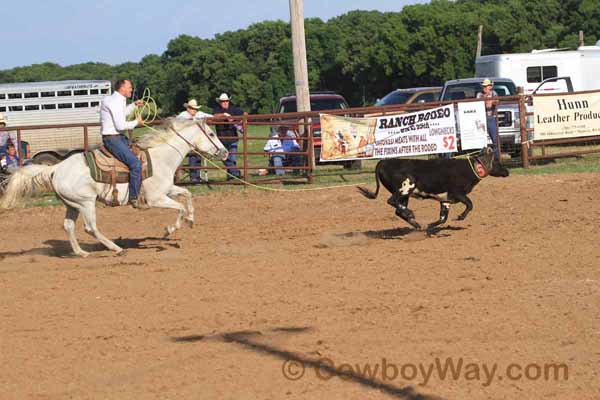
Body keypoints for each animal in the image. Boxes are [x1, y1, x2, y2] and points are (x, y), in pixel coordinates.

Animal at [0, 119, 229, 256]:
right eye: (211, 134)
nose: (225, 152)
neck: (161, 157)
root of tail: (56, 168)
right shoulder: (156, 198)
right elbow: (179, 208)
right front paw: (169, 230)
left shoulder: (167, 190)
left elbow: (188, 195)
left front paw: (191, 220)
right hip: (86, 203)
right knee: (90, 228)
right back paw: (117, 249)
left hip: (72, 204)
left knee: (69, 226)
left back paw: (81, 253)